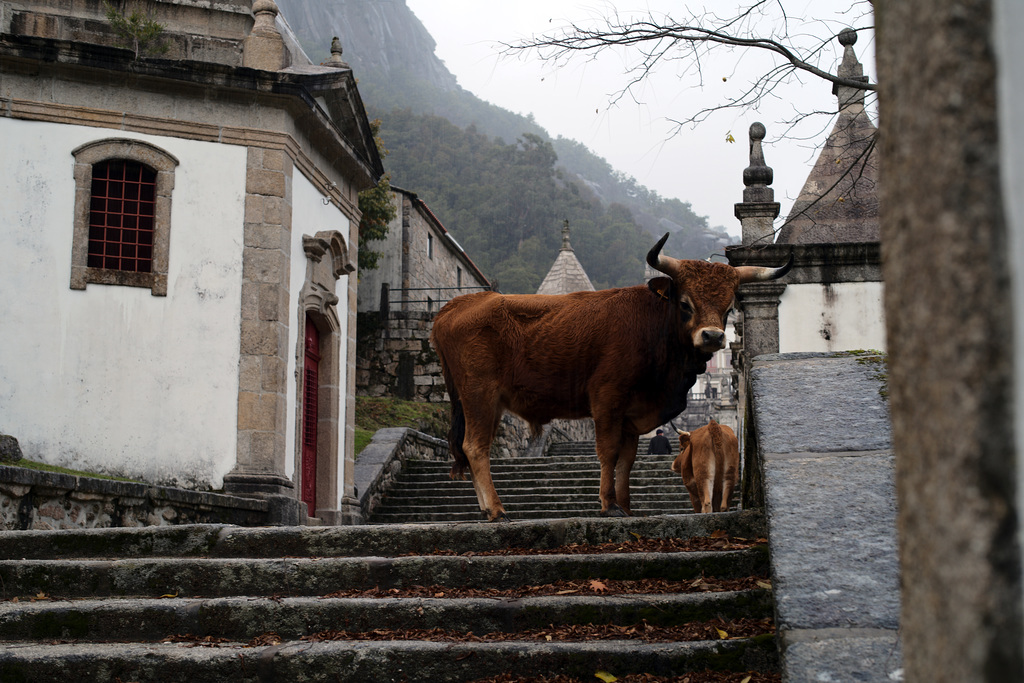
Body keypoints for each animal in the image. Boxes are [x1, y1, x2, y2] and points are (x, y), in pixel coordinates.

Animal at [428, 232, 786, 520]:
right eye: (685, 303)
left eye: (727, 308)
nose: (713, 336)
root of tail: (459, 304)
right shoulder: (607, 401)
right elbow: (608, 452)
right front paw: (608, 505)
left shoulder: (632, 415)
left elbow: (627, 460)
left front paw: (626, 506)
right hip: (478, 395)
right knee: (475, 446)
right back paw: (497, 510)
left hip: (484, 402)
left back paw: (486, 508)